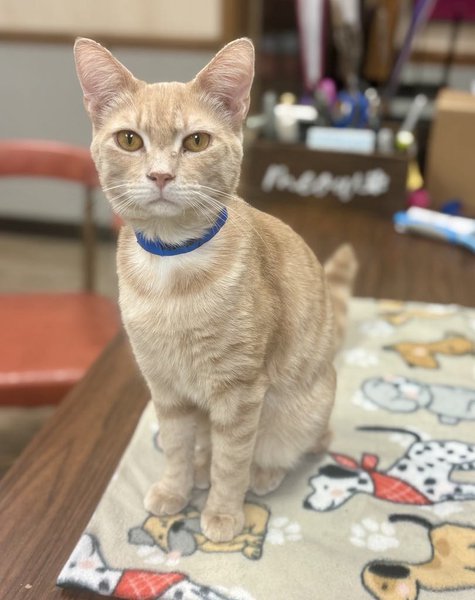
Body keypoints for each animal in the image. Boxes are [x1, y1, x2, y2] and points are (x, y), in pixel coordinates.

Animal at [74, 37, 358, 543]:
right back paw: (201, 470)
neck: (170, 270)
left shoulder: (240, 392)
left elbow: (232, 461)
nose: (161, 176)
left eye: (196, 141)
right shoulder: (165, 387)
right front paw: (176, 488)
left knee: (306, 444)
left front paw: (224, 513)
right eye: (129, 140)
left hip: (300, 411)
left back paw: (263, 473)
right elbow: (175, 447)